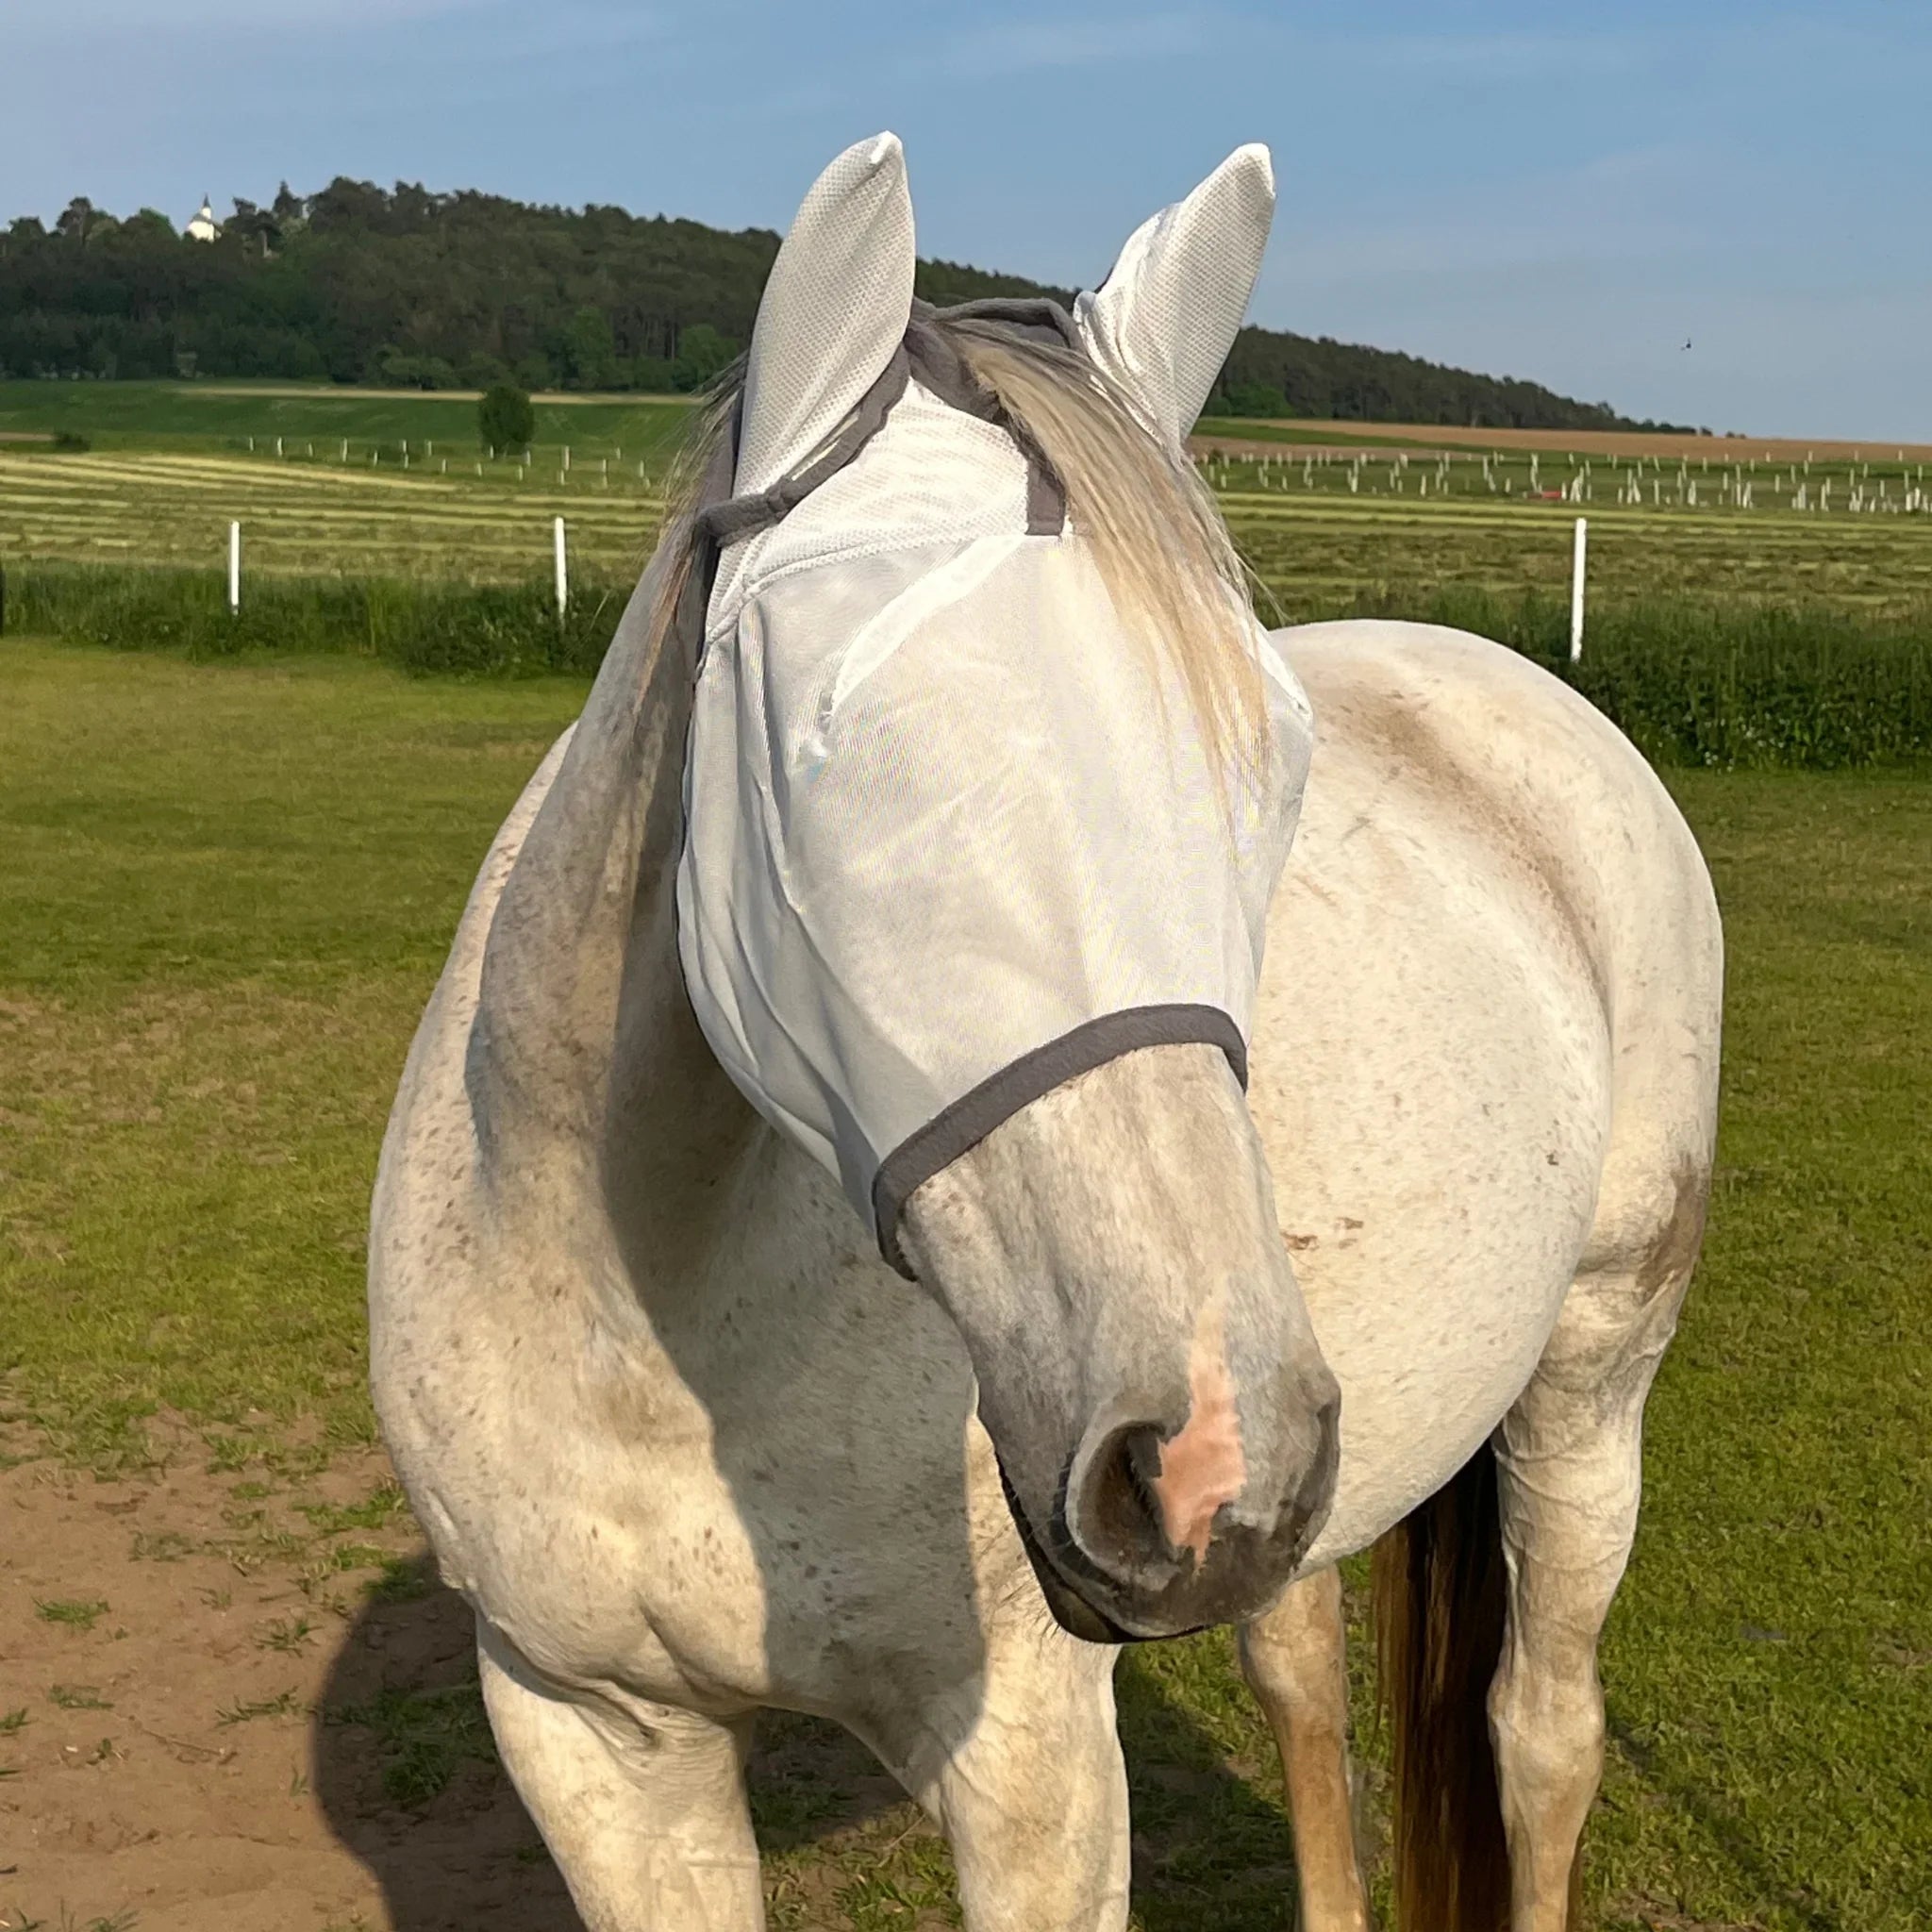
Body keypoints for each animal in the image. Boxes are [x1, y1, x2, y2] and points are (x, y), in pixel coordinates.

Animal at [369, 134, 1722, 1932]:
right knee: (1303, 1675)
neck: (637, 1327)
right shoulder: (592, 1736)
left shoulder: (1027, 1758)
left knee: (1540, 1734)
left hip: (1589, 1369)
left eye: (1275, 764)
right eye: (827, 745)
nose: (1201, 1451)